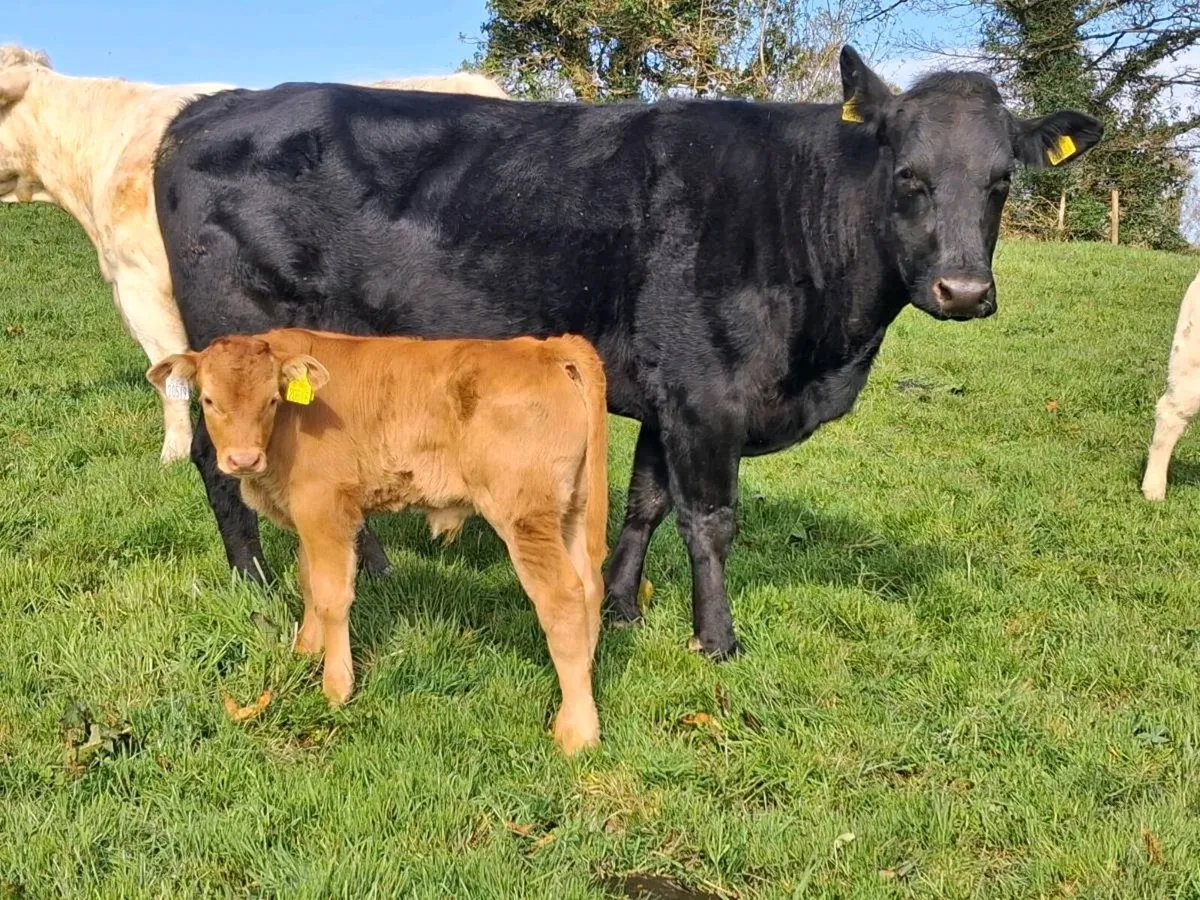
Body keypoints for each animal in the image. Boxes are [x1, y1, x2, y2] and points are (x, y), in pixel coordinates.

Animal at [146, 329, 607, 754]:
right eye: (209, 401)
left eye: (271, 401)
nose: (243, 459)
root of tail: (546, 347)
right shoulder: (306, 515)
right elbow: (308, 581)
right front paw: (305, 651)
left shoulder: (325, 506)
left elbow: (331, 596)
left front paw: (336, 686)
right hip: (572, 511)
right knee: (589, 589)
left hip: (525, 516)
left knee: (563, 600)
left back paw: (576, 732)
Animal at [152, 45, 1103, 659]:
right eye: (909, 177)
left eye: (1001, 183)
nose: (962, 291)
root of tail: (209, 106)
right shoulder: (708, 389)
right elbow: (711, 519)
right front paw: (716, 640)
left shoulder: (662, 390)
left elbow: (646, 504)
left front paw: (620, 609)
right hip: (234, 343)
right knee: (215, 457)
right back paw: (255, 580)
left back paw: (370, 566)